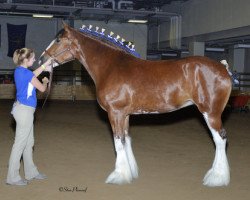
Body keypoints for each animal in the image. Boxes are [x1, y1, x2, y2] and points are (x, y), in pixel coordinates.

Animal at [39, 22, 232, 187]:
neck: (110, 66)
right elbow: (126, 140)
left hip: (210, 113)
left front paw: (118, 176)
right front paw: (130, 172)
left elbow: (118, 142)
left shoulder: (115, 113)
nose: (41, 60)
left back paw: (216, 178)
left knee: (220, 139)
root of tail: (223, 69)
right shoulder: (124, 115)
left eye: (58, 40)